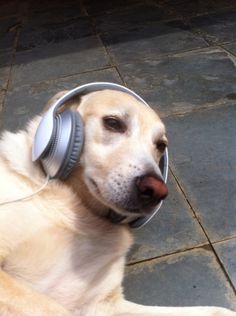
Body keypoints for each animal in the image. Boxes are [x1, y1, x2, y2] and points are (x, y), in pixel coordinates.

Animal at [0, 88, 234, 316]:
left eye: (160, 145)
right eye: (113, 123)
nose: (156, 191)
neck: (83, 214)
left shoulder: (101, 303)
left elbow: (215, 310)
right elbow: (53, 309)